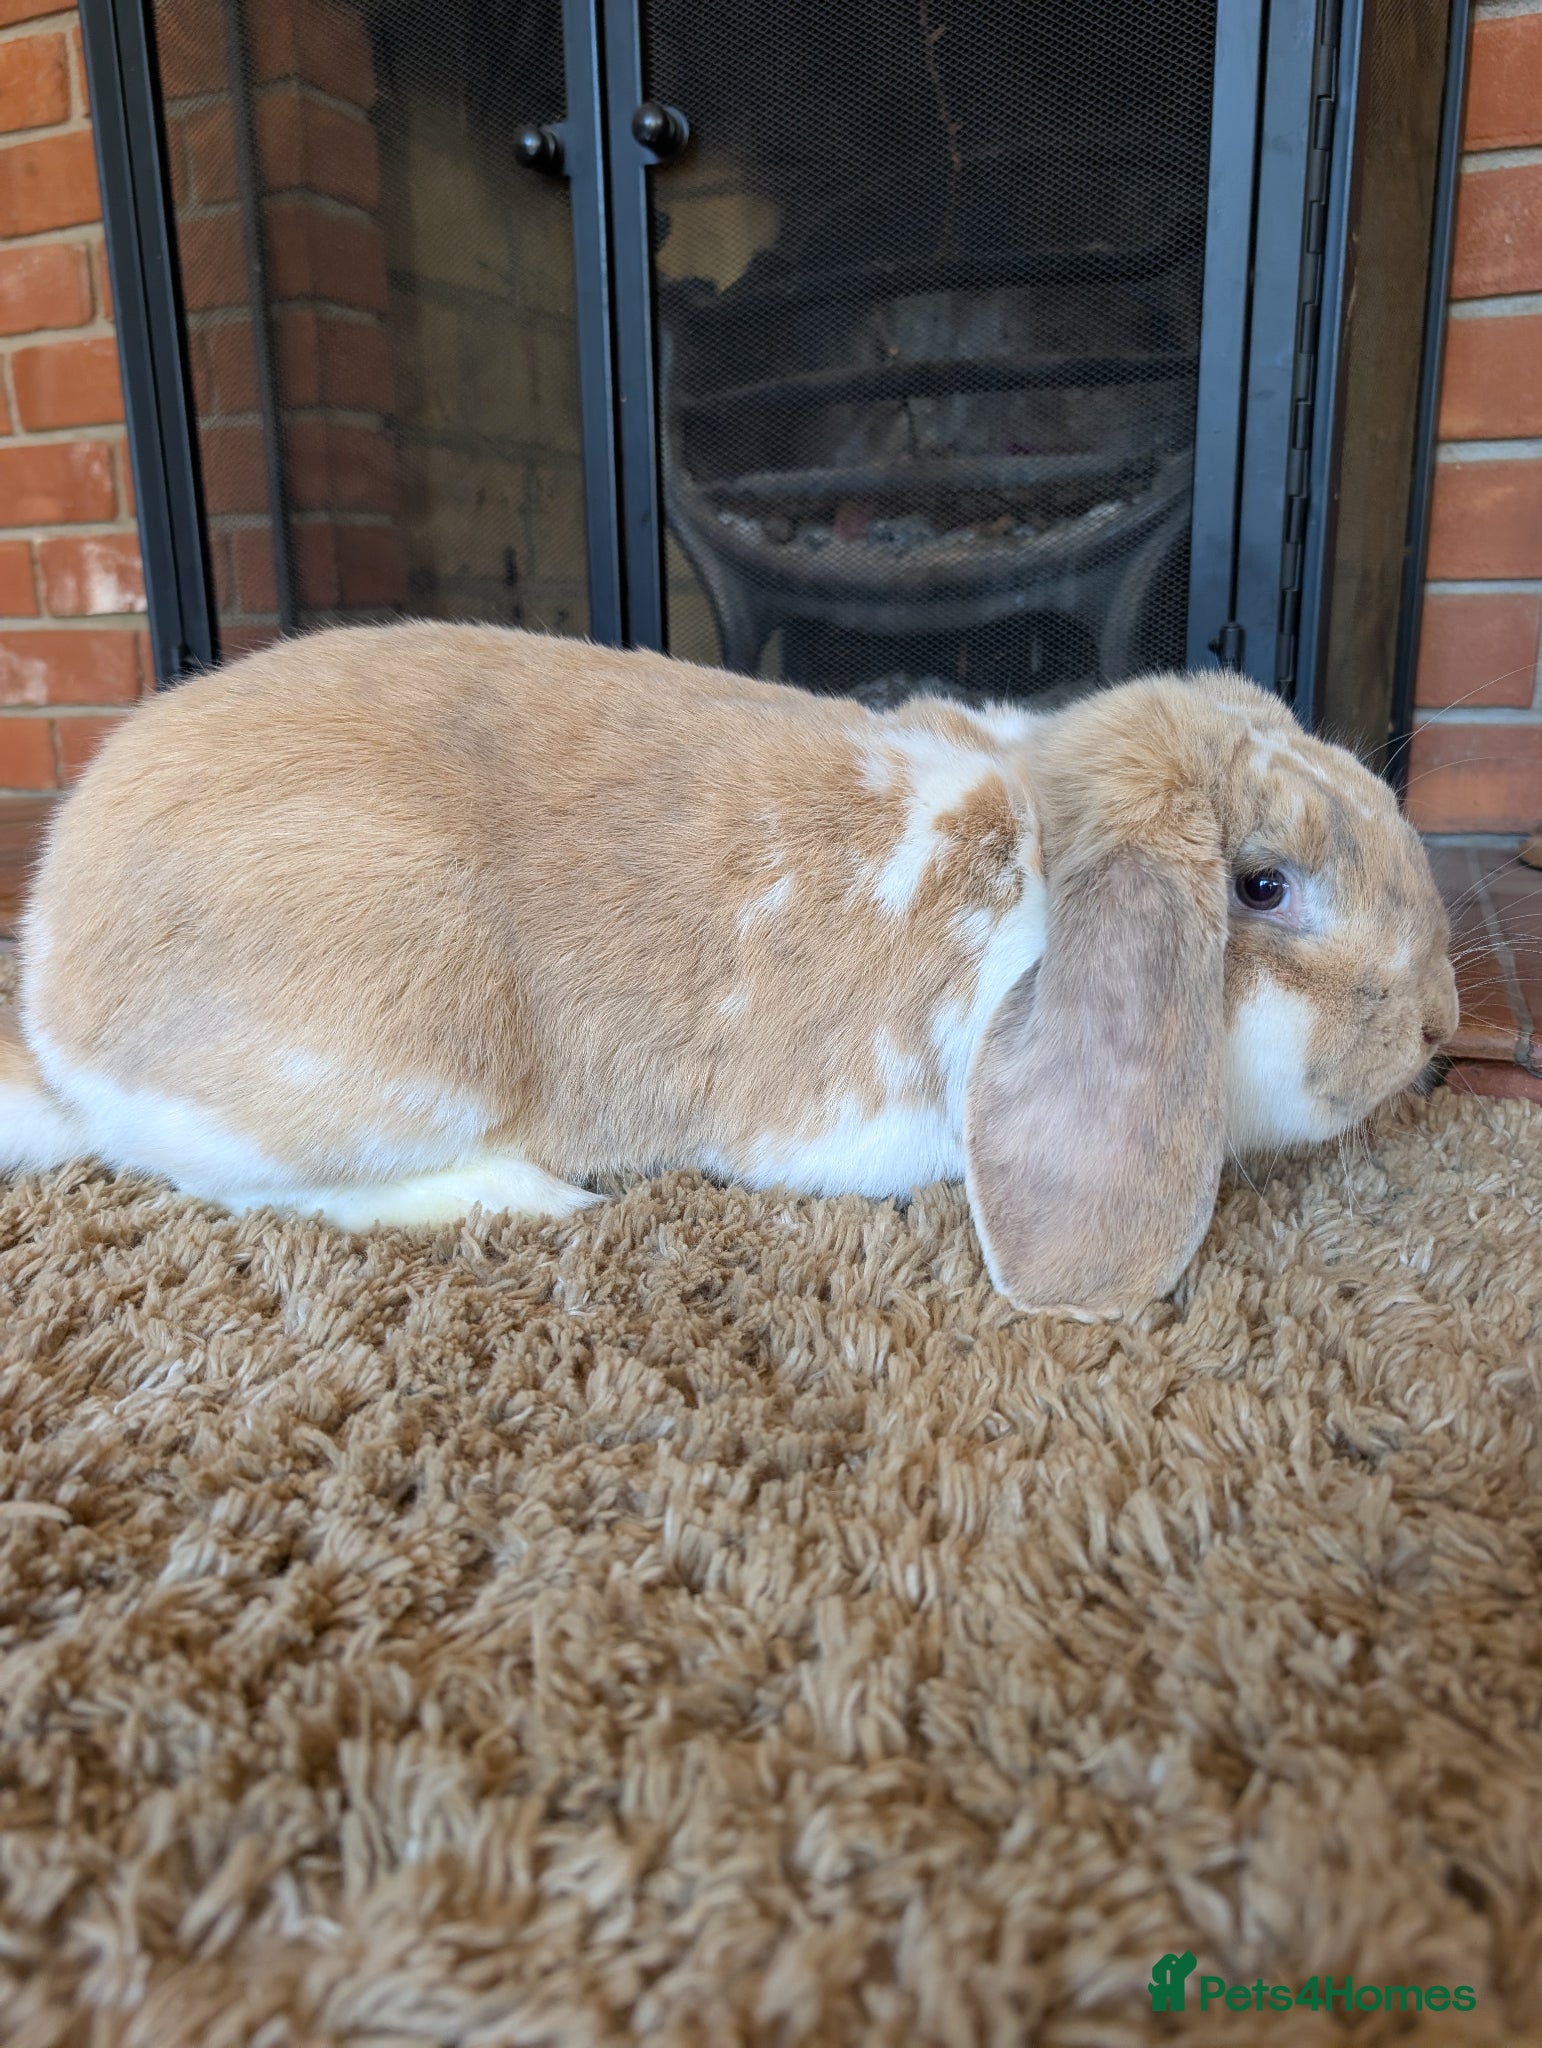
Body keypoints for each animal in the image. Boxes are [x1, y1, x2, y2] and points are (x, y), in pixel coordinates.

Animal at [0, 622, 1457, 1318]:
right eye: (1261, 887)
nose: (1443, 1023)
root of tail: (53, 980)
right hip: (391, 1044)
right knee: (234, 1182)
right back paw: (546, 1200)